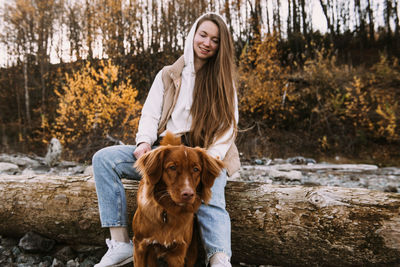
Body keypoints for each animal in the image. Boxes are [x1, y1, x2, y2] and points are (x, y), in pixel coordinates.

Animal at [132, 133, 223, 266]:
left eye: (196, 169)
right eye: (172, 167)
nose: (188, 194)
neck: (166, 213)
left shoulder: (178, 253)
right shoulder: (140, 246)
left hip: (191, 250)